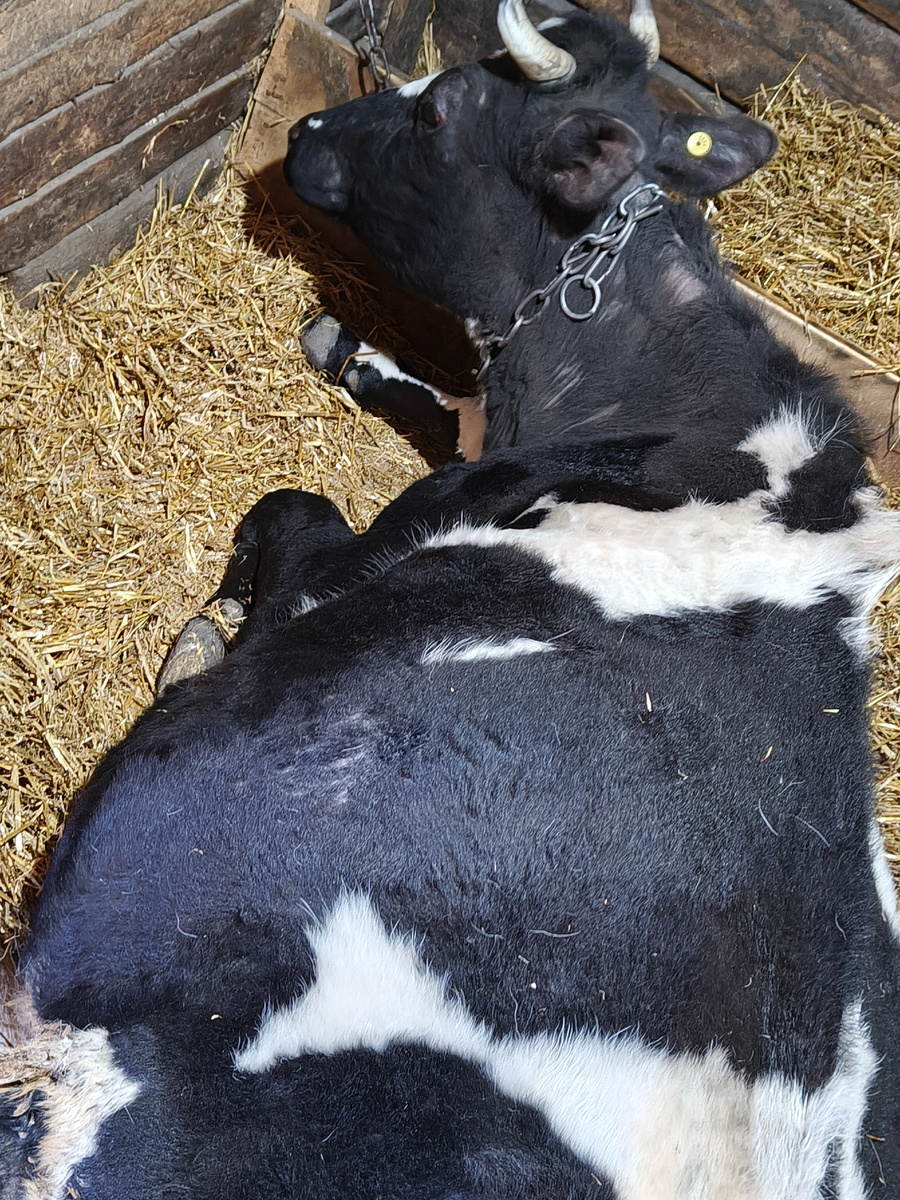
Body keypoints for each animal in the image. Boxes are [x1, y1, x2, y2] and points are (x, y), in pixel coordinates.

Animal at [2, 2, 900, 1197]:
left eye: (438, 114)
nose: (308, 127)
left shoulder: (370, 554)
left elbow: (290, 514)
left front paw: (208, 632)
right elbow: (433, 401)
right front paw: (347, 345)